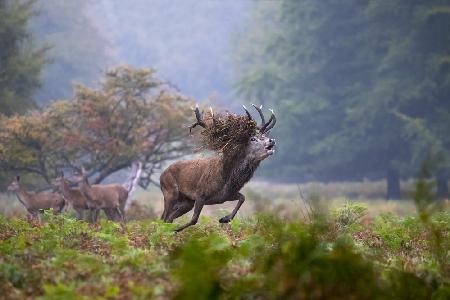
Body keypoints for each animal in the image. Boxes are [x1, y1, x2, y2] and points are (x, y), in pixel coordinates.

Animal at [160, 103, 276, 232]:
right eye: (253, 138)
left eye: (264, 136)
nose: (271, 140)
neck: (225, 180)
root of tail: (162, 174)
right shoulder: (201, 194)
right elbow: (194, 220)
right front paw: (176, 230)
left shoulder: (226, 196)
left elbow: (243, 197)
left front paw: (224, 219)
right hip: (170, 192)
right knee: (164, 217)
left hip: (187, 201)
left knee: (169, 218)